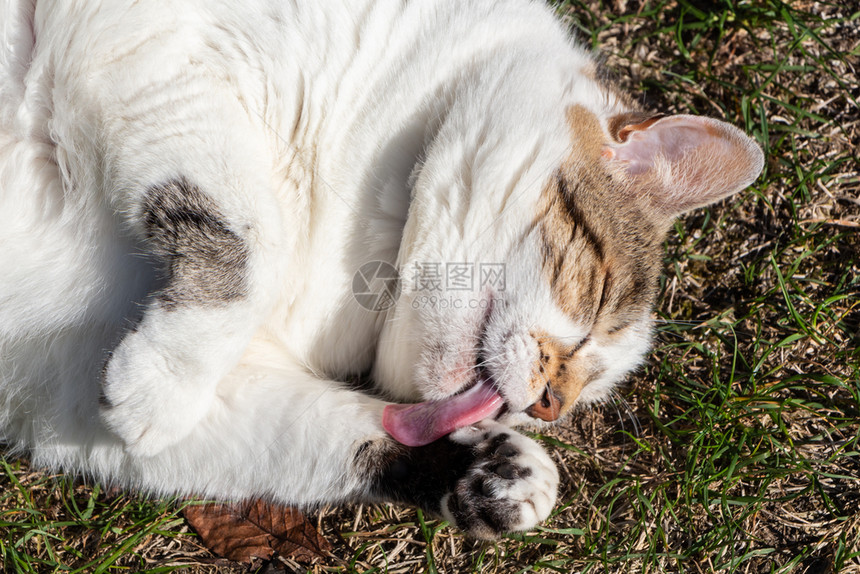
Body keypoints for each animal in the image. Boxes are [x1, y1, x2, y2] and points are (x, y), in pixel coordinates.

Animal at [1, 0, 764, 540]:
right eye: (601, 296)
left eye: (583, 399)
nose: (548, 404)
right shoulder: (150, 51)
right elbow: (254, 243)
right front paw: (162, 384)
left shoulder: (59, 379)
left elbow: (307, 436)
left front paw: (496, 476)